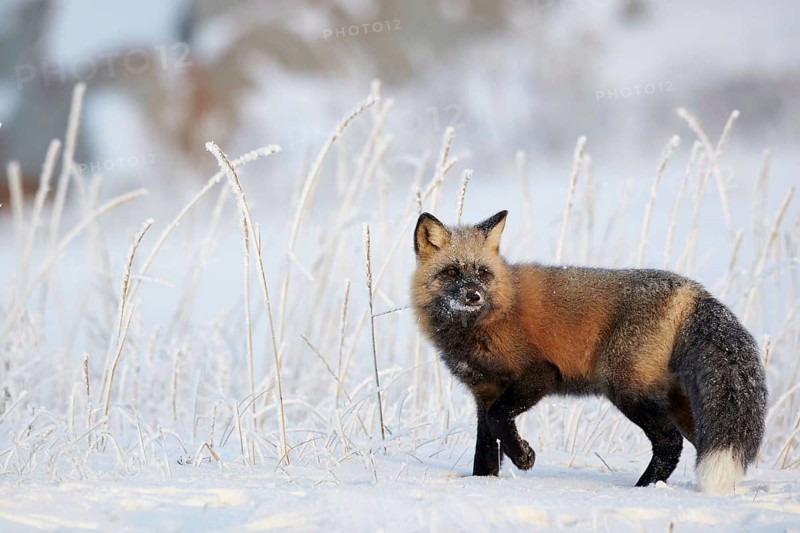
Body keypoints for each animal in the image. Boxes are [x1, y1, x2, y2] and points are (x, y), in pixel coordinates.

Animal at [411, 210, 767, 493]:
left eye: (483, 273)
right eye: (452, 272)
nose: (474, 296)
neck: (486, 320)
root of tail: (691, 288)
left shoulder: (538, 375)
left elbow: (500, 420)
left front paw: (524, 456)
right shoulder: (484, 393)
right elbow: (485, 453)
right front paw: (483, 486)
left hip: (627, 390)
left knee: (669, 444)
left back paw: (642, 491)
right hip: (680, 407)